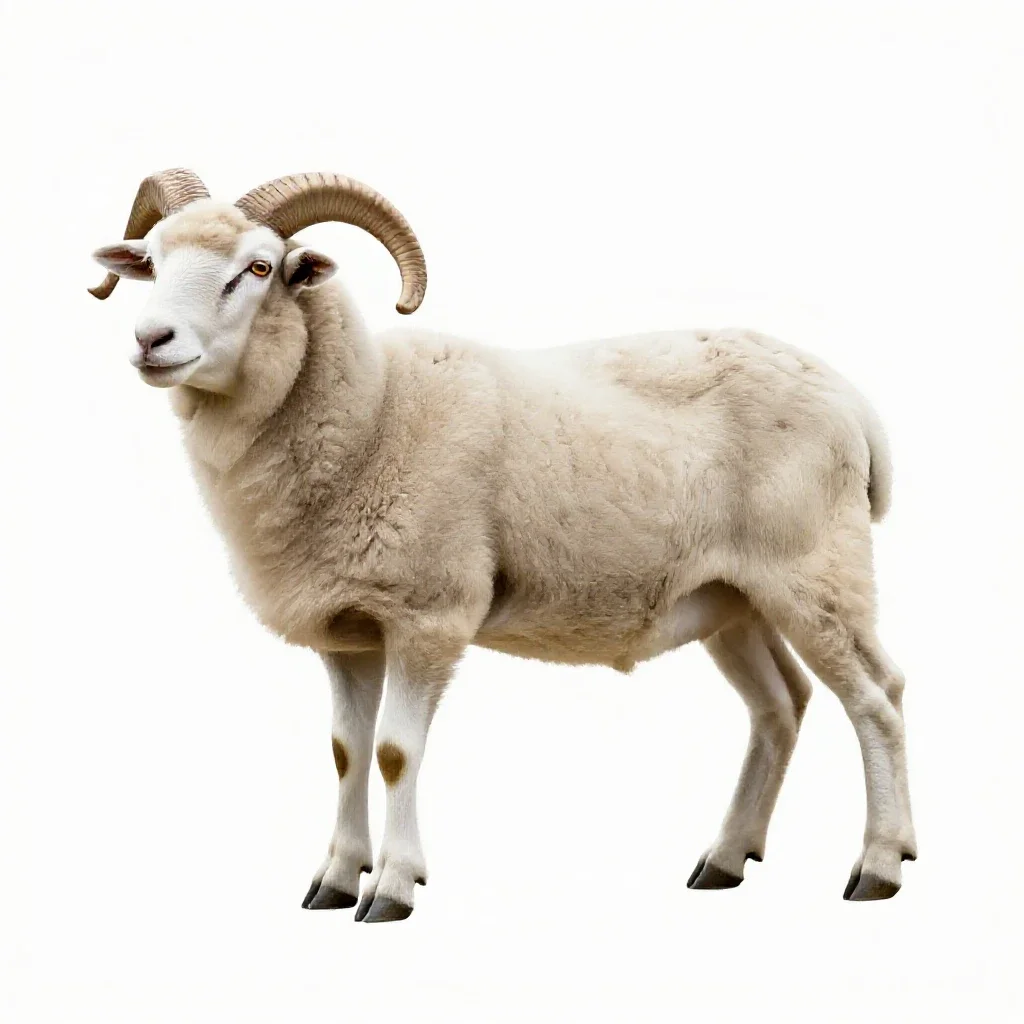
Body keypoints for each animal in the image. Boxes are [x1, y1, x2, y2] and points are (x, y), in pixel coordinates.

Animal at [91, 168, 915, 922]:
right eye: (152, 261)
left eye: (258, 268)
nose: (150, 341)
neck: (374, 410)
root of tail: (852, 400)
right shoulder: (347, 634)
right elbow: (346, 753)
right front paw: (336, 879)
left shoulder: (429, 616)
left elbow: (394, 752)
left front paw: (392, 887)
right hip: (732, 598)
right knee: (782, 704)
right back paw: (725, 858)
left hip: (817, 570)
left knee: (877, 699)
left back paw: (880, 866)